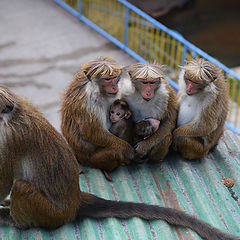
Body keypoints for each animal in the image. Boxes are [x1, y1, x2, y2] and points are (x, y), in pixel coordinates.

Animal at [0, 84, 238, 240]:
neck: (11, 115)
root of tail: (75, 200)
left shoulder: (9, 138)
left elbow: (5, 180)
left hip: (50, 213)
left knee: (21, 186)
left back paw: (17, 221)